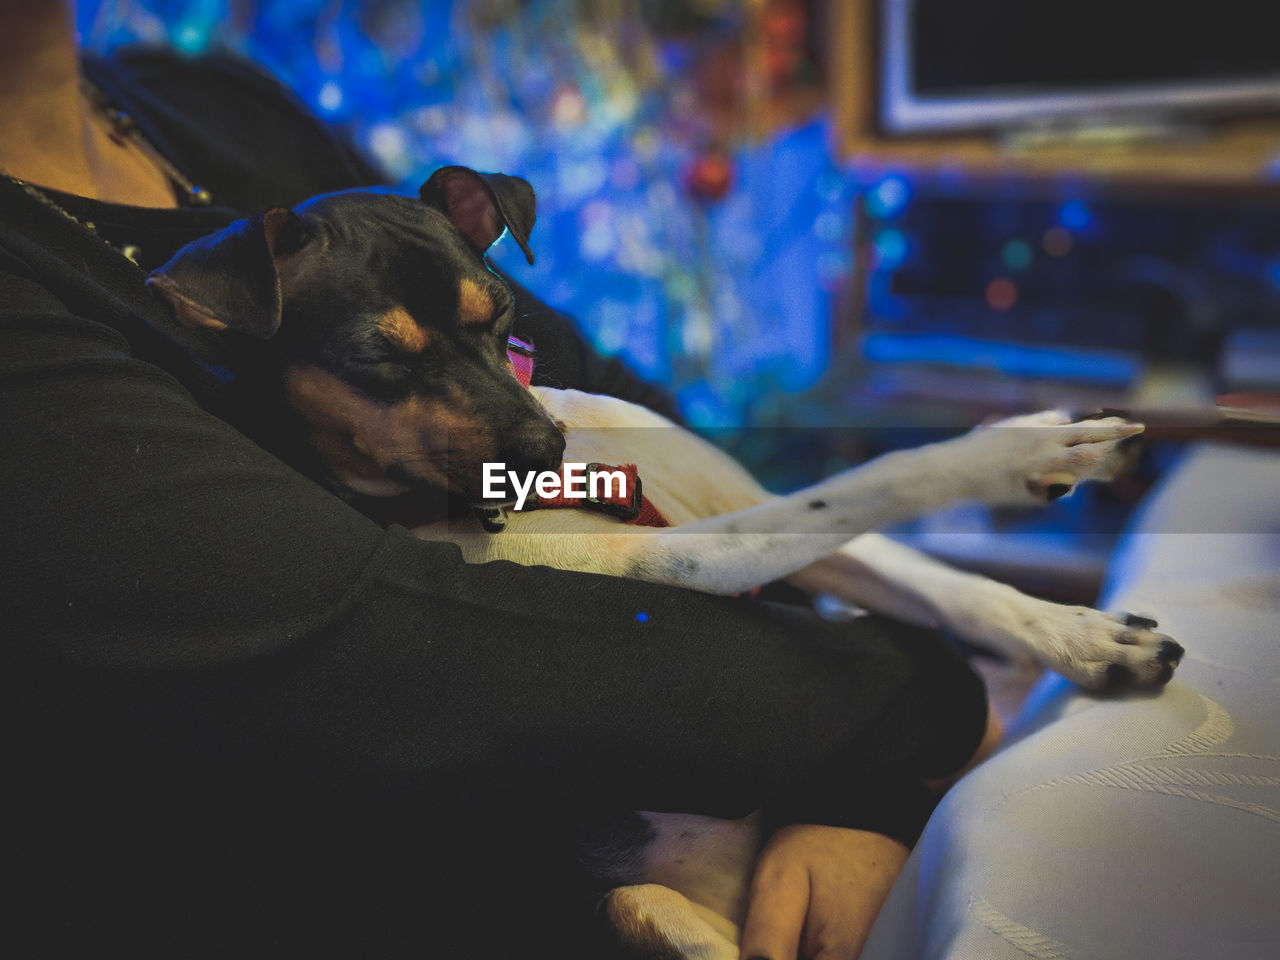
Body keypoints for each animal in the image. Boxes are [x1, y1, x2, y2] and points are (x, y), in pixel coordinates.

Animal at [147, 167, 1177, 960]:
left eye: (503, 313)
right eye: (372, 358)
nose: (541, 450)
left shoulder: (756, 514)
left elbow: (945, 583)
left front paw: (1085, 637)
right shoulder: (676, 564)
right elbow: (882, 475)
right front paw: (1020, 447)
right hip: (635, 906)